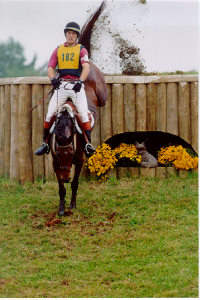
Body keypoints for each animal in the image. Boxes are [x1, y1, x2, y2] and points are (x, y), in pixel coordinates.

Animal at [50, 0, 108, 216]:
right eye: (60, 153)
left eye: (70, 153)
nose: (66, 176)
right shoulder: (55, 161)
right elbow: (60, 187)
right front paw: (61, 208)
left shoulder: (80, 159)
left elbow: (75, 183)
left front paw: (72, 205)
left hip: (100, 93)